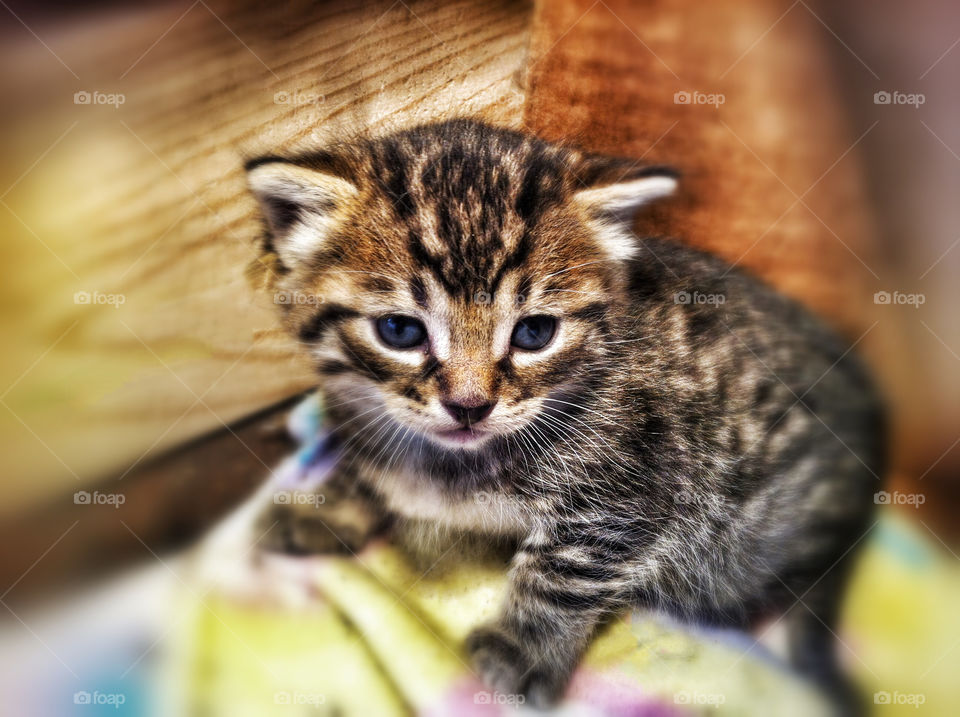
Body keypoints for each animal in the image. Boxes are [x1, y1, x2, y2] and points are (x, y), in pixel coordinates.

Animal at [246, 117, 884, 712]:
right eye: (400, 330)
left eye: (534, 333)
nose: (469, 405)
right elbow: (365, 460)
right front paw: (325, 504)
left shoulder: (639, 482)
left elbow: (564, 569)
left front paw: (522, 650)